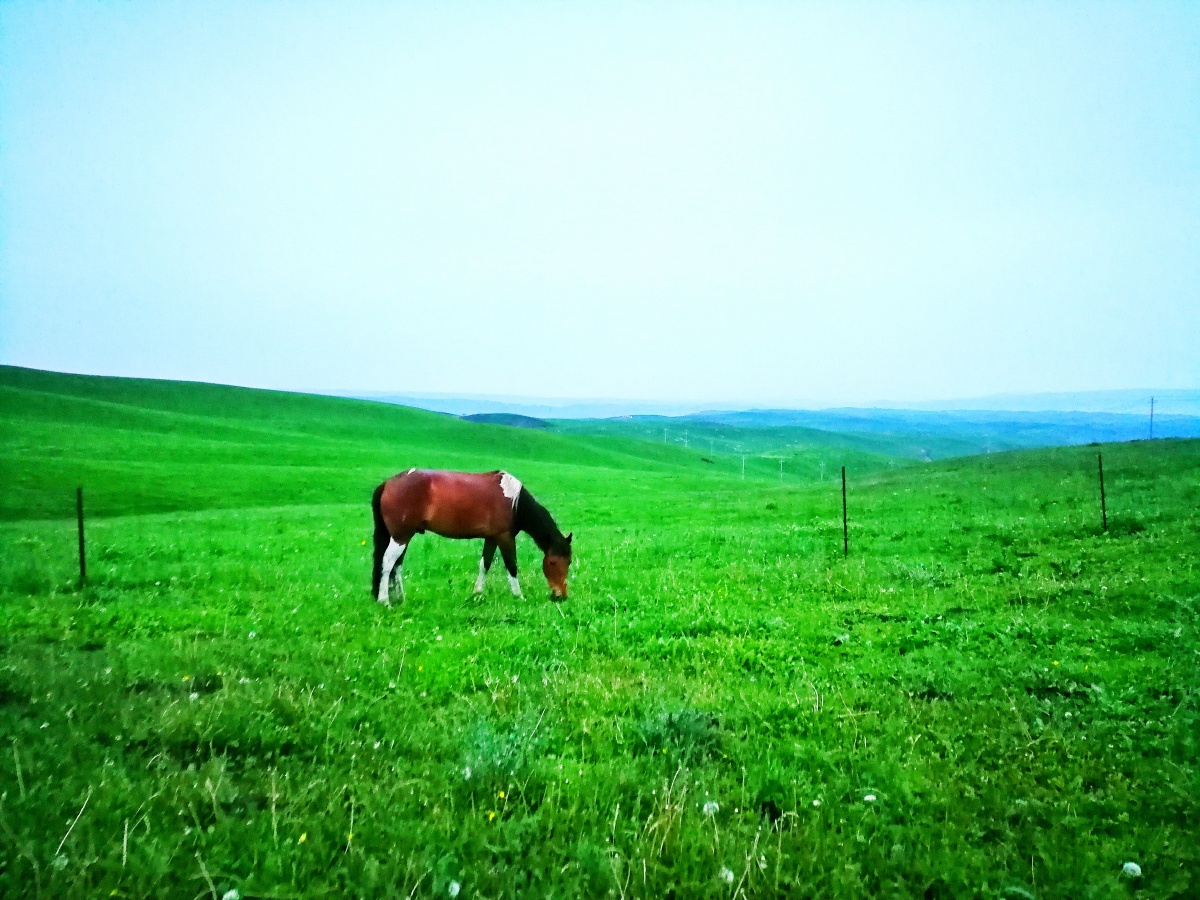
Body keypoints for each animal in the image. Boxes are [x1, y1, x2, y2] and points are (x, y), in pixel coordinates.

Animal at [370, 469, 572, 605]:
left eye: (569, 562)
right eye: (552, 562)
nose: (560, 596)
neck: (514, 501)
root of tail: (388, 483)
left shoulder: (492, 538)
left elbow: (485, 564)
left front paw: (477, 593)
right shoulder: (505, 537)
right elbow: (512, 567)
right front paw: (518, 596)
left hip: (403, 536)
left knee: (397, 565)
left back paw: (399, 598)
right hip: (400, 536)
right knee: (387, 563)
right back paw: (384, 600)